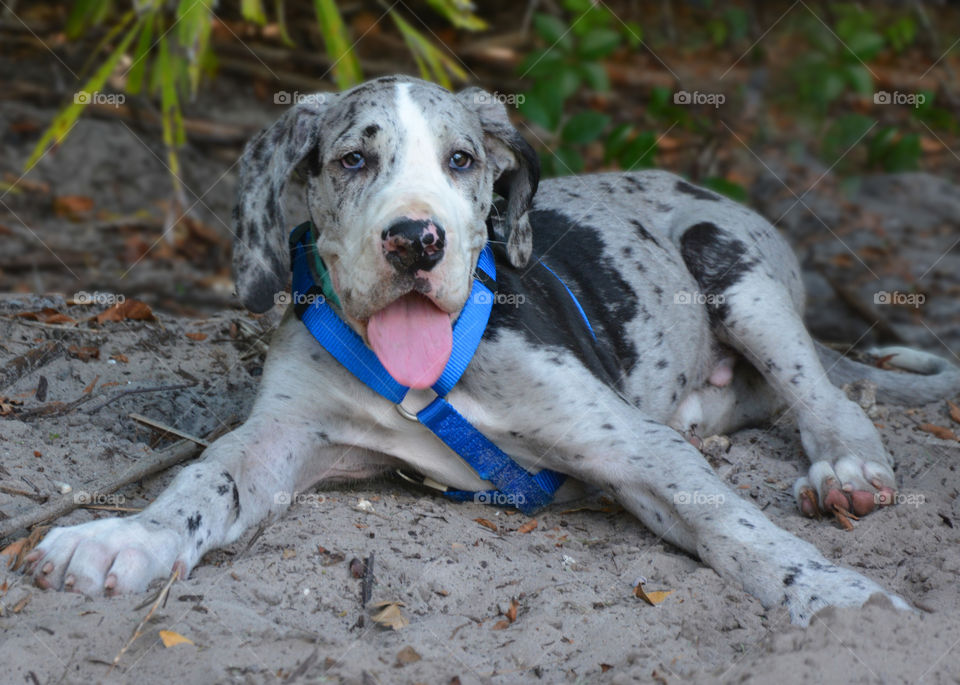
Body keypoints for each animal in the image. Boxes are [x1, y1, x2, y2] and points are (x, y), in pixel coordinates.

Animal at [24, 76, 960, 624]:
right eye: (353, 159)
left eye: (462, 160)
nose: (416, 240)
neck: (428, 375)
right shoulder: (283, 436)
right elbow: (204, 478)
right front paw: (124, 537)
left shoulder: (633, 445)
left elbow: (737, 526)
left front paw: (839, 596)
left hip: (731, 262)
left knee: (823, 389)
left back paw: (845, 465)